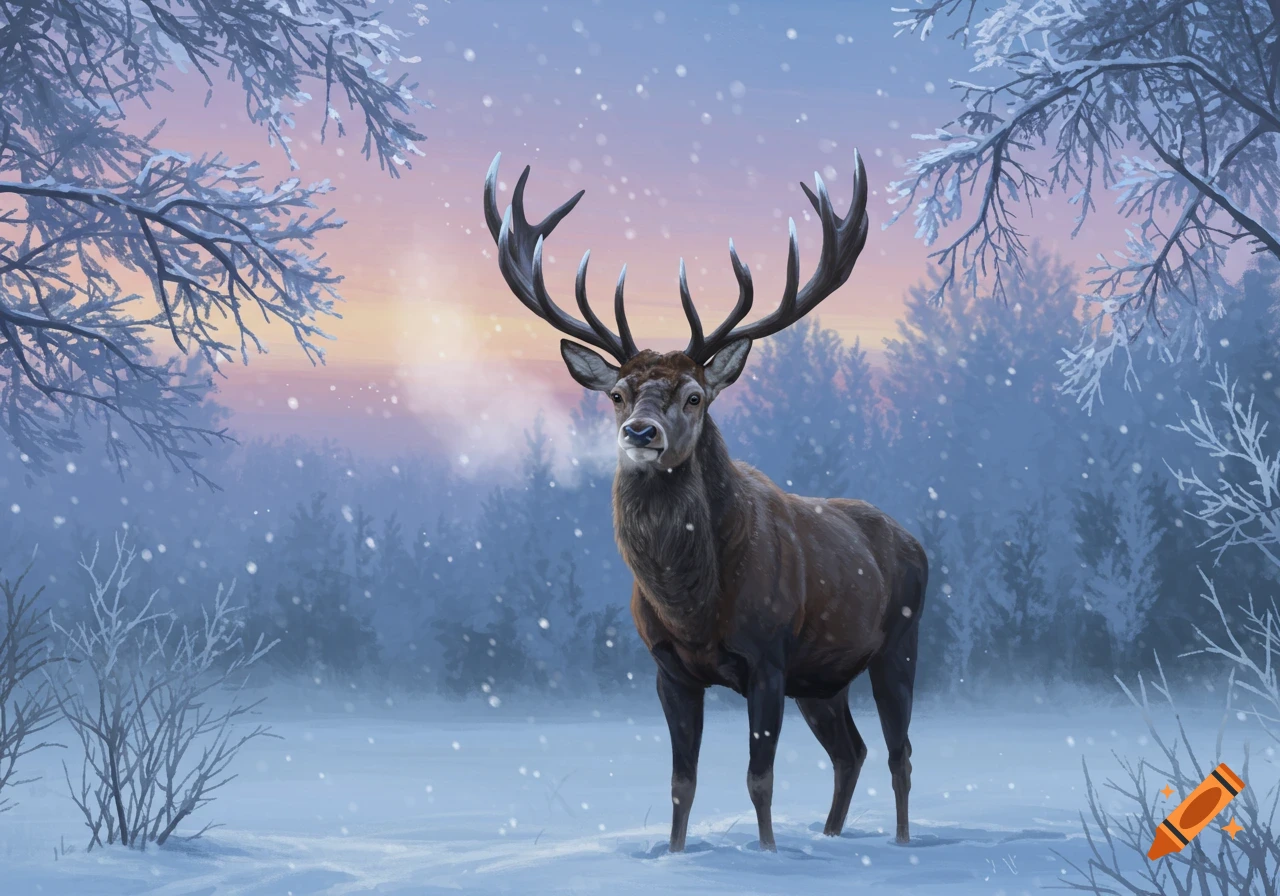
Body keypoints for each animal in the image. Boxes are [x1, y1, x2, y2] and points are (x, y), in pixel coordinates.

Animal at [483, 148, 927, 854]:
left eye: (695, 396)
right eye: (617, 394)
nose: (641, 433)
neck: (693, 607)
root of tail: (917, 543)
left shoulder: (768, 656)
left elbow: (759, 779)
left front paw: (768, 853)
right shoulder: (669, 668)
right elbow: (680, 783)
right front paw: (674, 853)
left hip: (898, 643)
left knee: (898, 752)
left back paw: (903, 845)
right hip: (821, 677)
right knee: (849, 752)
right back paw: (830, 838)